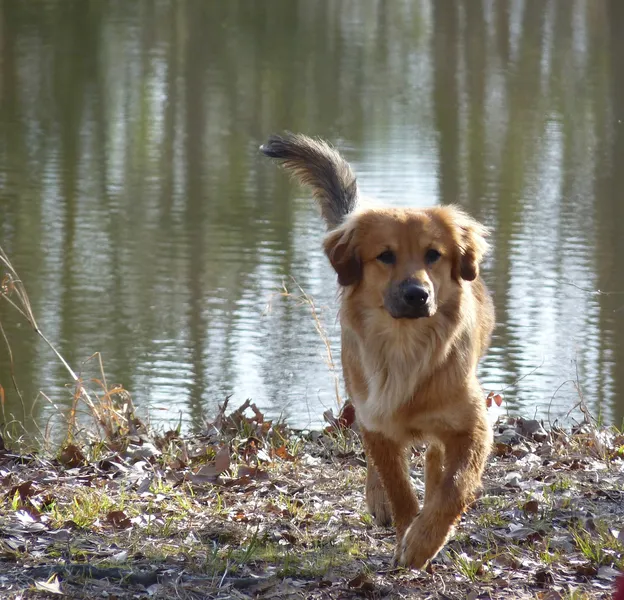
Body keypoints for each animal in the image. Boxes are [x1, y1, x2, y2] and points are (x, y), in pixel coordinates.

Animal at [260, 134, 494, 568]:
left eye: (434, 254)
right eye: (385, 256)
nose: (417, 295)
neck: (406, 347)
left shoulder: (473, 424)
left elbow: (454, 487)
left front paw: (424, 541)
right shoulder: (379, 421)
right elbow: (399, 488)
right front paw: (407, 534)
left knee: (436, 460)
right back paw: (378, 500)